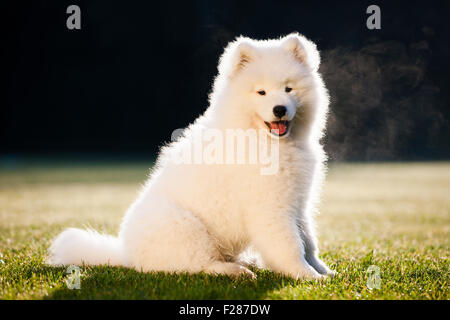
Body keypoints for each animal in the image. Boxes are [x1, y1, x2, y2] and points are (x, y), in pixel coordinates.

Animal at [48, 31, 334, 278]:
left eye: (288, 89)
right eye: (261, 92)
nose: (279, 109)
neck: (268, 141)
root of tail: (126, 256)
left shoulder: (299, 203)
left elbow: (308, 242)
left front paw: (324, 271)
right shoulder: (271, 208)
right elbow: (290, 246)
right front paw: (307, 276)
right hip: (187, 229)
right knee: (199, 266)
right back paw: (236, 271)